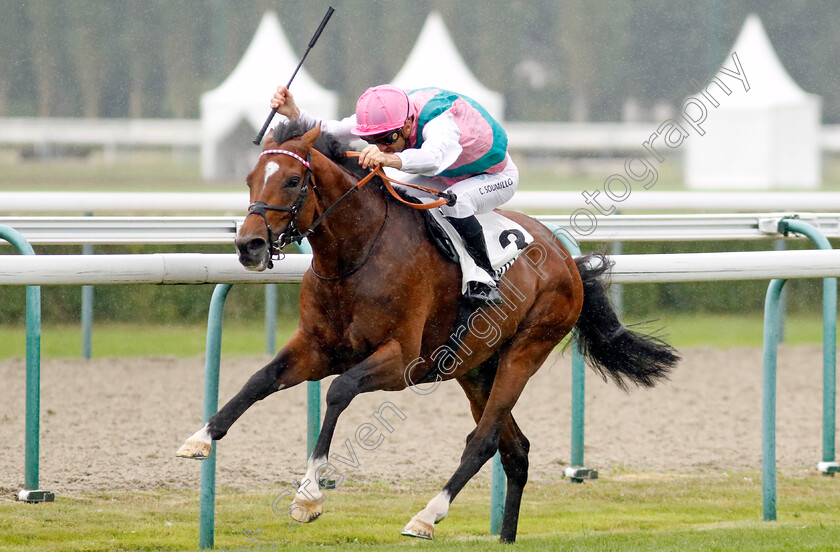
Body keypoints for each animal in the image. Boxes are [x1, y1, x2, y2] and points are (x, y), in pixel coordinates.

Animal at [176, 121, 676, 544]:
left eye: (294, 181)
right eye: (249, 178)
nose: (249, 245)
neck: (358, 253)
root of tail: (566, 257)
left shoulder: (401, 360)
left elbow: (339, 390)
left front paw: (309, 493)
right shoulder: (316, 347)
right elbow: (260, 379)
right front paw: (200, 438)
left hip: (526, 349)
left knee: (484, 441)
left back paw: (427, 516)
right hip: (474, 368)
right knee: (515, 449)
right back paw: (504, 537)